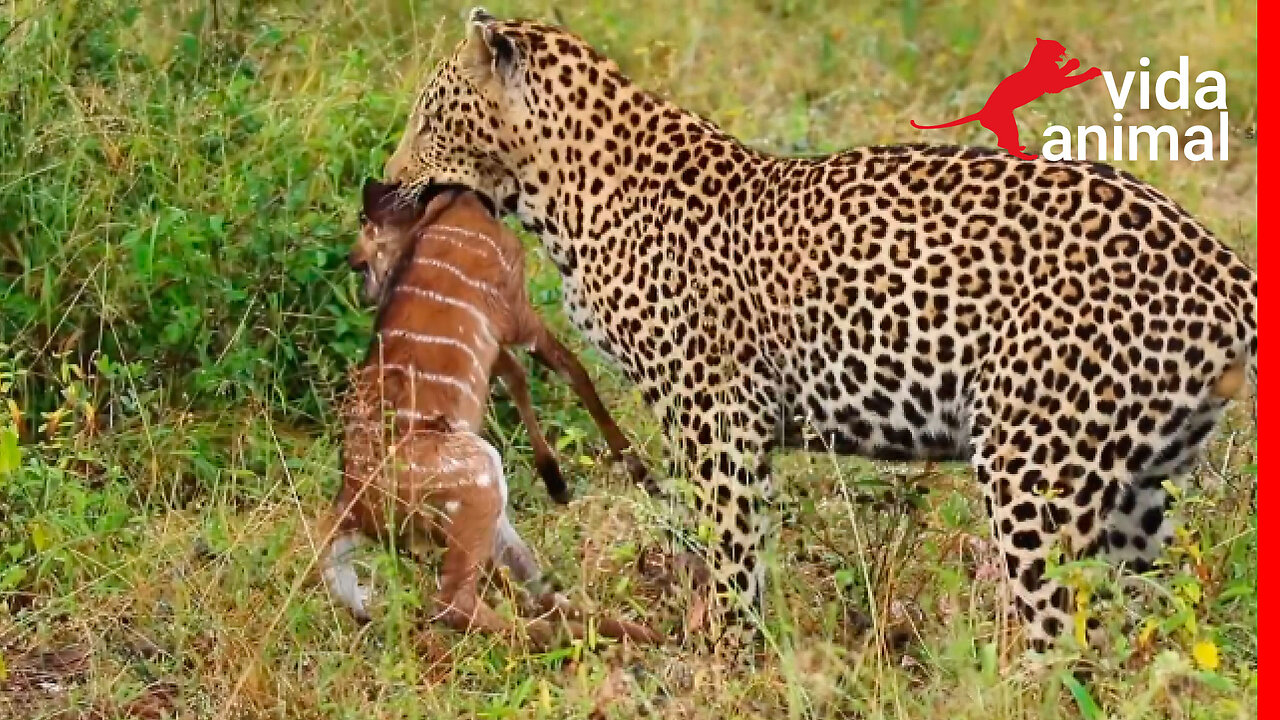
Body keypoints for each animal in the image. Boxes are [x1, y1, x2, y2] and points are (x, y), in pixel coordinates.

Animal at [378, 7, 1259, 645]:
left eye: (428, 117)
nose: (381, 184)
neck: (564, 192)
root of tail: (1220, 259)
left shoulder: (716, 413)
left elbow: (731, 552)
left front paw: (725, 659)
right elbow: (741, 544)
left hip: (1037, 468)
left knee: (1069, 634)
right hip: (1136, 486)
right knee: (1134, 635)